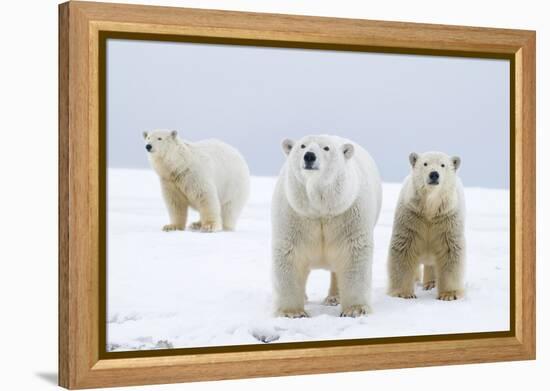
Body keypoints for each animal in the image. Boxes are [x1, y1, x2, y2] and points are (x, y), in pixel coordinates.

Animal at [272, 135, 384, 318]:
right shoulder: (294, 213)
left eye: (326, 148)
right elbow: (290, 253)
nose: (309, 156)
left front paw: (355, 309)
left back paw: (334, 298)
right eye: (302, 146)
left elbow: (353, 253)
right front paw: (293, 312)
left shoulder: (348, 212)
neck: (320, 210)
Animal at [388, 152, 466, 302]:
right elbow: (404, 250)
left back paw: (431, 284)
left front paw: (449, 295)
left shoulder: (447, 219)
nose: (434, 174)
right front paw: (404, 293)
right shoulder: (411, 217)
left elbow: (449, 251)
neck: (430, 209)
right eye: (425, 163)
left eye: (443, 165)